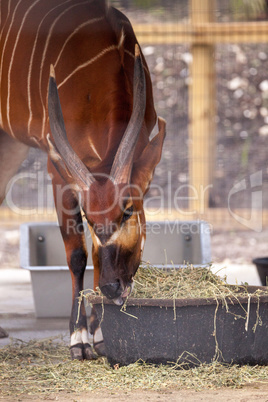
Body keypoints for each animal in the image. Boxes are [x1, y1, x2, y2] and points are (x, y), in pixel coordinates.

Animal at [0, 0, 165, 358]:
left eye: (128, 211)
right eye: (89, 217)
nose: (112, 288)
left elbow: (95, 259)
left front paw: (99, 333)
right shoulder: (58, 172)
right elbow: (77, 256)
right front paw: (79, 338)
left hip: (11, 142)